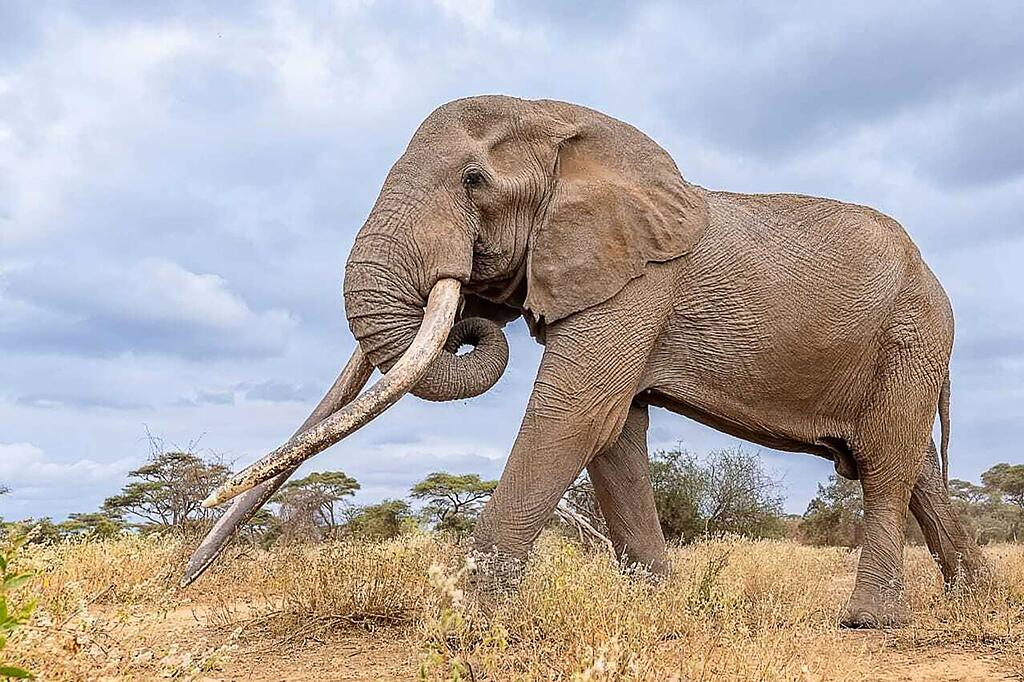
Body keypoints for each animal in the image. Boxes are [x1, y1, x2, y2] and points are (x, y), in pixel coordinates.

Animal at [186, 95, 985, 628]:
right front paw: (660, 611)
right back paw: (975, 597)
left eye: (473, 181)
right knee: (911, 467)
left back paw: (872, 621)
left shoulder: (637, 283)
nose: (181, 580)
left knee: (884, 464)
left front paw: (465, 624)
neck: (564, 124)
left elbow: (572, 417)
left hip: (912, 335)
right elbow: (614, 437)